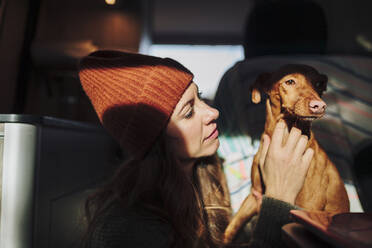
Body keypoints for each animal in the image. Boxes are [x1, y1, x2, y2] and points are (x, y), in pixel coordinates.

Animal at [224, 64, 348, 244]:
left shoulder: (306, 207)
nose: (319, 105)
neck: (285, 135)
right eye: (290, 81)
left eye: (319, 84)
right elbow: (230, 229)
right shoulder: (254, 196)